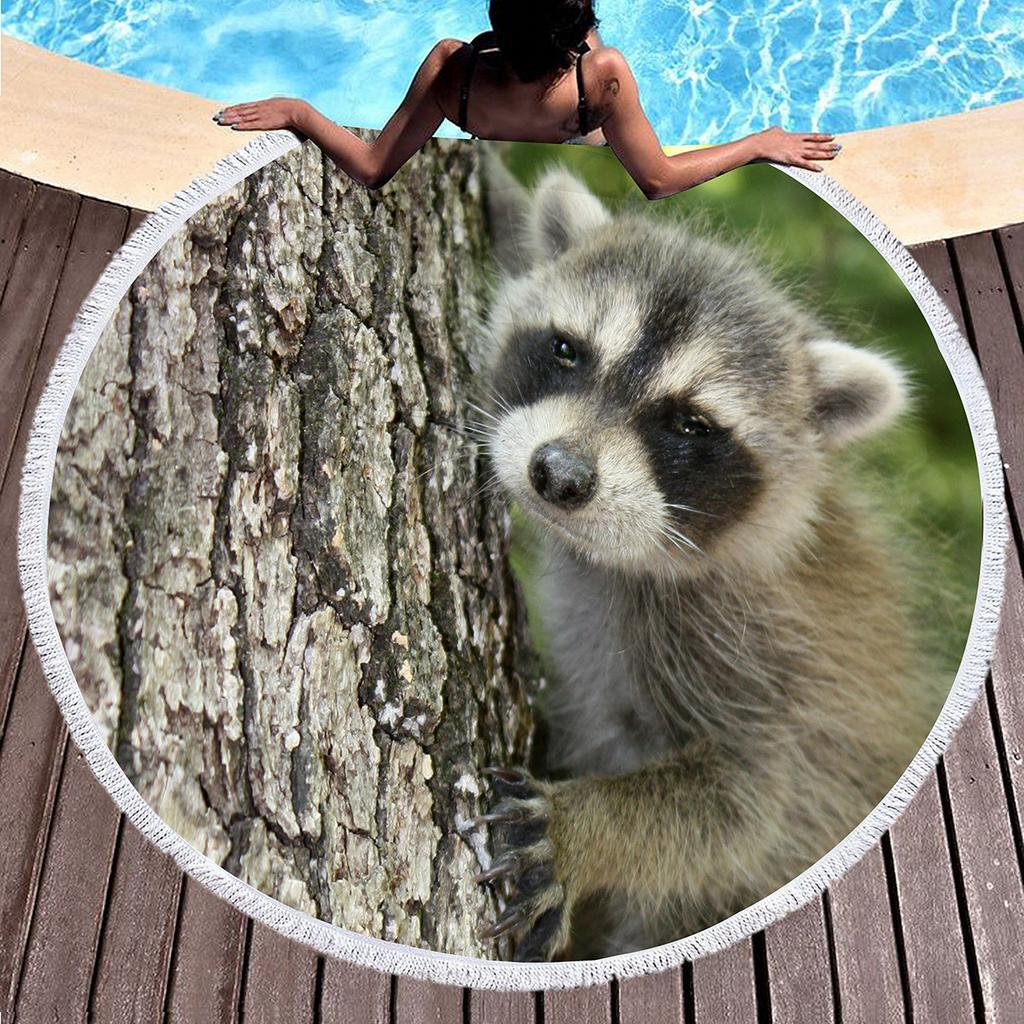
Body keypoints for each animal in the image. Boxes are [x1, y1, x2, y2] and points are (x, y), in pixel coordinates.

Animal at [470, 159, 940, 962]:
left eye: (690, 424)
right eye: (567, 350)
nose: (559, 476)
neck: (615, 562)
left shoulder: (761, 651)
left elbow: (744, 802)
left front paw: (589, 824)